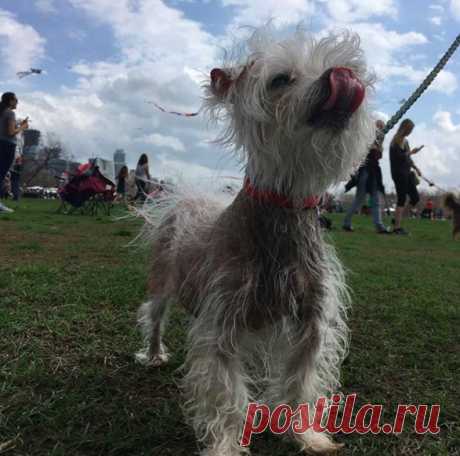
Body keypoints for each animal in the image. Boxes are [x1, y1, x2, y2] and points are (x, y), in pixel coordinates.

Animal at [135, 27, 376, 456]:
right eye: (281, 79)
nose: (343, 76)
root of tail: (190, 198)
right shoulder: (222, 331)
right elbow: (226, 399)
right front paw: (224, 447)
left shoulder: (311, 325)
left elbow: (301, 383)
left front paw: (306, 435)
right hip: (163, 282)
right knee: (155, 317)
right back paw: (153, 354)